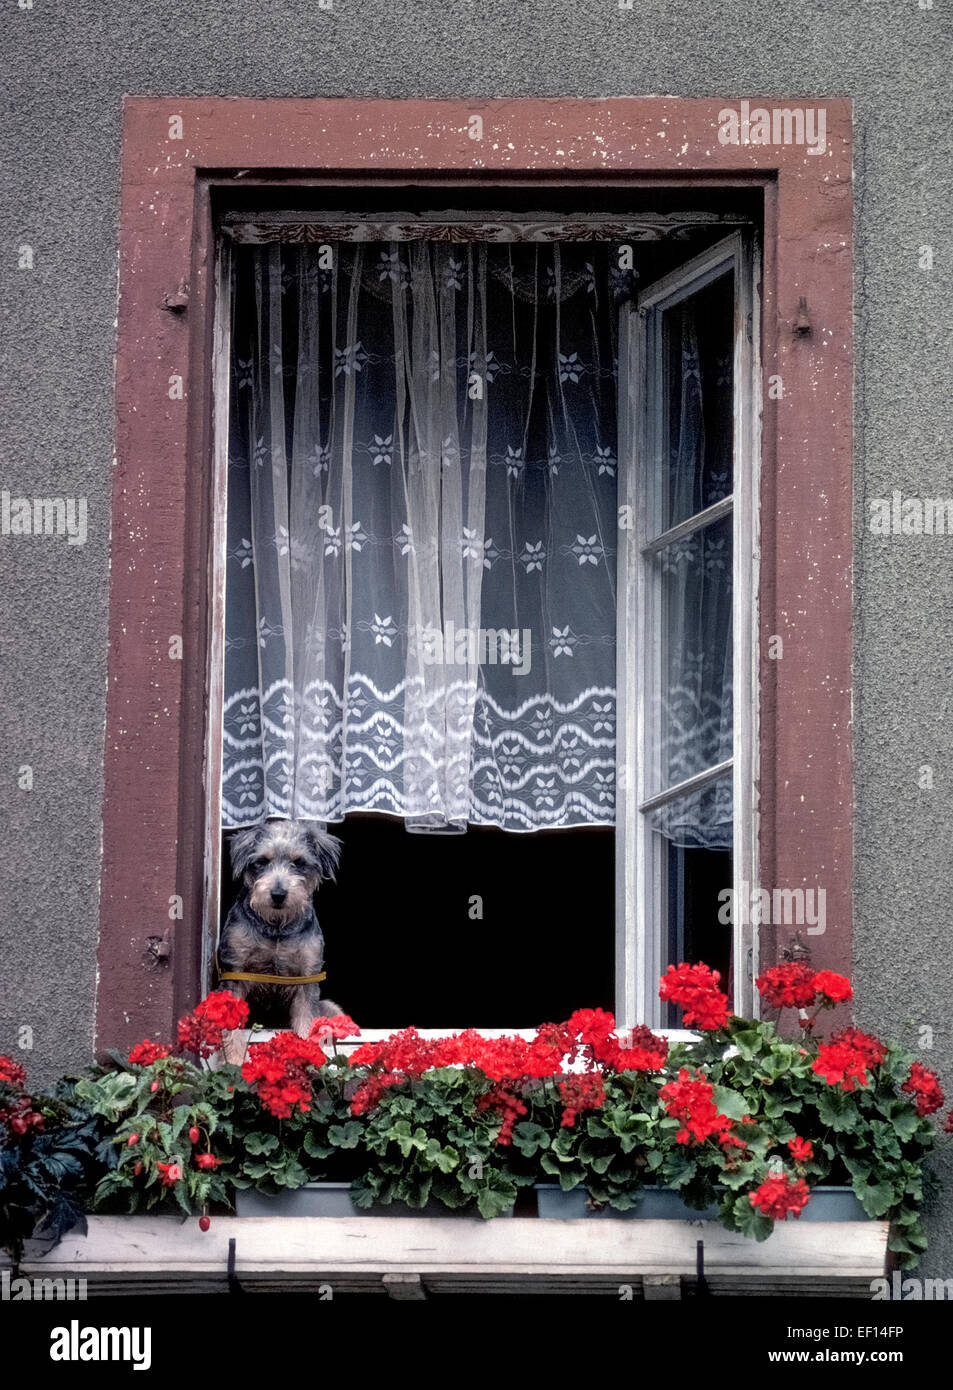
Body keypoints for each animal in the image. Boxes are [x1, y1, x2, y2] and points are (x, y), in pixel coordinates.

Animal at [218, 811, 345, 1045]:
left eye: (299, 862)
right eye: (262, 861)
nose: (278, 894)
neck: (276, 928)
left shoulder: (307, 976)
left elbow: (306, 1026)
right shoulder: (236, 972)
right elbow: (232, 1032)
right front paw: (233, 1054)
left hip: (331, 1007)